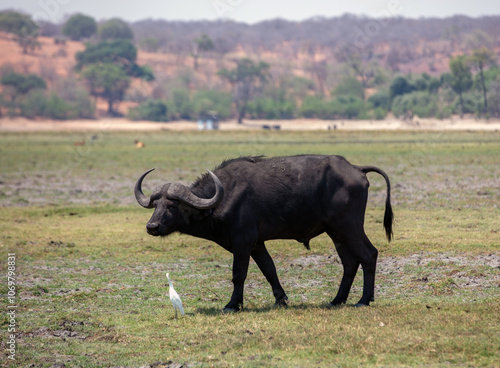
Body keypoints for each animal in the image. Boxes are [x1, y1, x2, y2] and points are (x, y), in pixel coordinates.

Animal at [135, 155, 392, 310]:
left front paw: (233, 305)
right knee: (350, 262)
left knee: (369, 254)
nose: (152, 227)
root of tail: (356, 168)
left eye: (172, 206)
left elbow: (239, 274)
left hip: (349, 227)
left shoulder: (242, 242)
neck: (221, 199)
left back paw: (363, 300)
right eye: (156, 204)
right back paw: (337, 300)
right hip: (336, 232)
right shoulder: (257, 244)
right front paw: (281, 300)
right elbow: (269, 270)